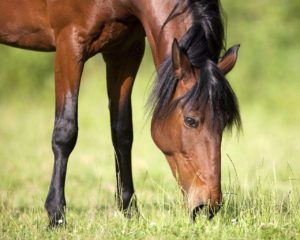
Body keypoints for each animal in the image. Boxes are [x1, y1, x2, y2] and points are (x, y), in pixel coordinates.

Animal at [0, 0, 241, 226]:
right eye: (191, 120)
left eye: (224, 124)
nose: (208, 206)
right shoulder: (69, 43)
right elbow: (65, 132)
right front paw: (56, 215)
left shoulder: (124, 51)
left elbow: (122, 133)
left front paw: (130, 212)